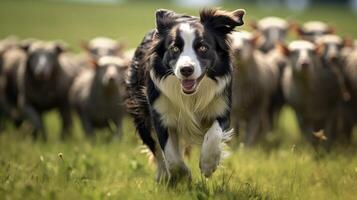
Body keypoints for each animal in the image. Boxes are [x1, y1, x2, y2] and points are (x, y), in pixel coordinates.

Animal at [126, 8, 245, 182]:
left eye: (203, 48)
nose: (186, 70)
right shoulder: (160, 115)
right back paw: (162, 176)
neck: (190, 96)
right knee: (155, 149)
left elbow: (214, 134)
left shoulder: (221, 108)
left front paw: (208, 165)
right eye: (174, 48)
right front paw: (183, 177)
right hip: (141, 115)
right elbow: (170, 155)